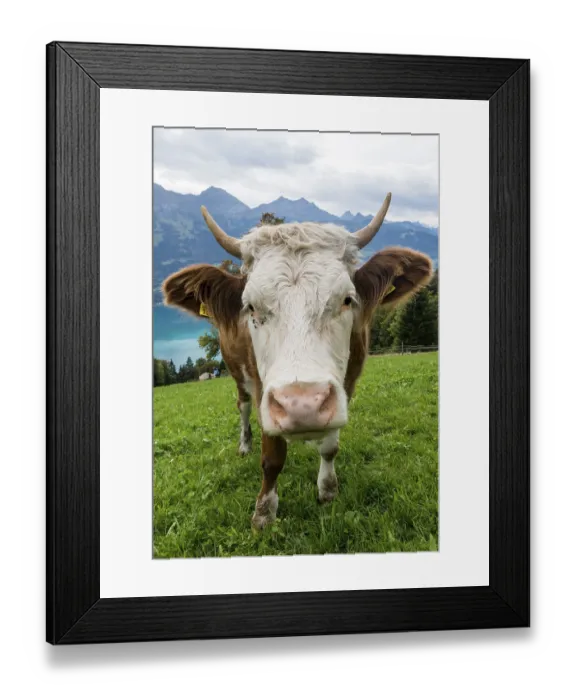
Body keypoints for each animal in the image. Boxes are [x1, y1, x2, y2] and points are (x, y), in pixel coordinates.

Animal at [162, 194, 432, 528]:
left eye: (347, 299)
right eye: (250, 307)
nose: (302, 404)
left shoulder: (346, 385)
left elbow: (330, 447)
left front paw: (327, 490)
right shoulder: (263, 386)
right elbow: (272, 458)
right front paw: (264, 512)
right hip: (237, 373)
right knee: (243, 406)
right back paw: (245, 444)